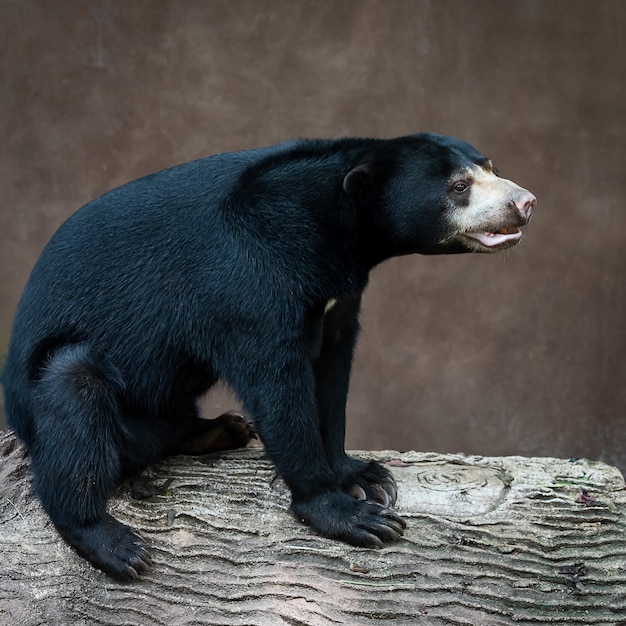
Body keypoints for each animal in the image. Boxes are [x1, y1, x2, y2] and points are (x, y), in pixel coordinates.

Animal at [2, 132, 532, 576]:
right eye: (458, 186)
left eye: (491, 165)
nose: (525, 203)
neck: (331, 231)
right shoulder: (247, 281)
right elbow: (277, 385)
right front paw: (350, 514)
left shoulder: (337, 296)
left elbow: (331, 375)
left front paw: (361, 474)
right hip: (61, 386)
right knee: (73, 395)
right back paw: (115, 544)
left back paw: (219, 430)